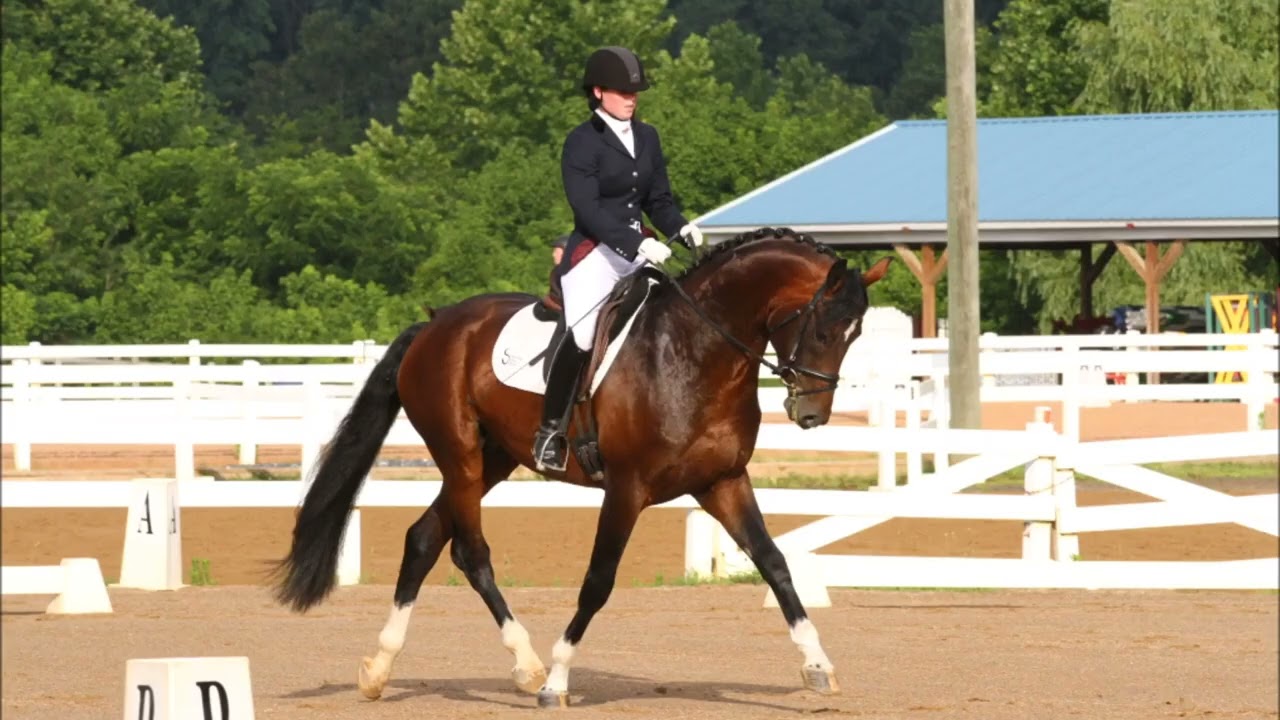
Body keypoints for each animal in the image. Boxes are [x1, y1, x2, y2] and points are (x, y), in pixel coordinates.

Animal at [272, 226, 893, 708]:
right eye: (821, 328)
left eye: (856, 333)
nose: (811, 414)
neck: (694, 352)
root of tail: (434, 324)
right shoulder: (627, 488)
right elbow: (598, 581)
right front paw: (559, 680)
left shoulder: (722, 482)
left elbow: (775, 563)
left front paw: (818, 666)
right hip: (461, 456)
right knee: (470, 552)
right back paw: (528, 667)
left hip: (494, 458)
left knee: (423, 538)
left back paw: (380, 670)